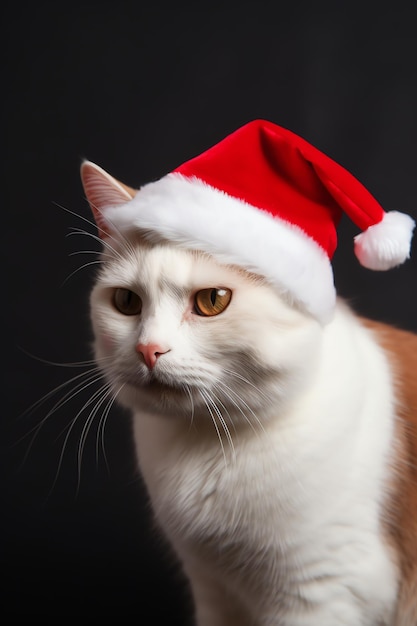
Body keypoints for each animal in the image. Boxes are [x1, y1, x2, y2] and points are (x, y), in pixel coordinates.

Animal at [79, 119, 416, 620]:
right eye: (125, 302)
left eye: (212, 301)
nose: (148, 349)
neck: (209, 444)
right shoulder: (214, 592)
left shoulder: (322, 593)